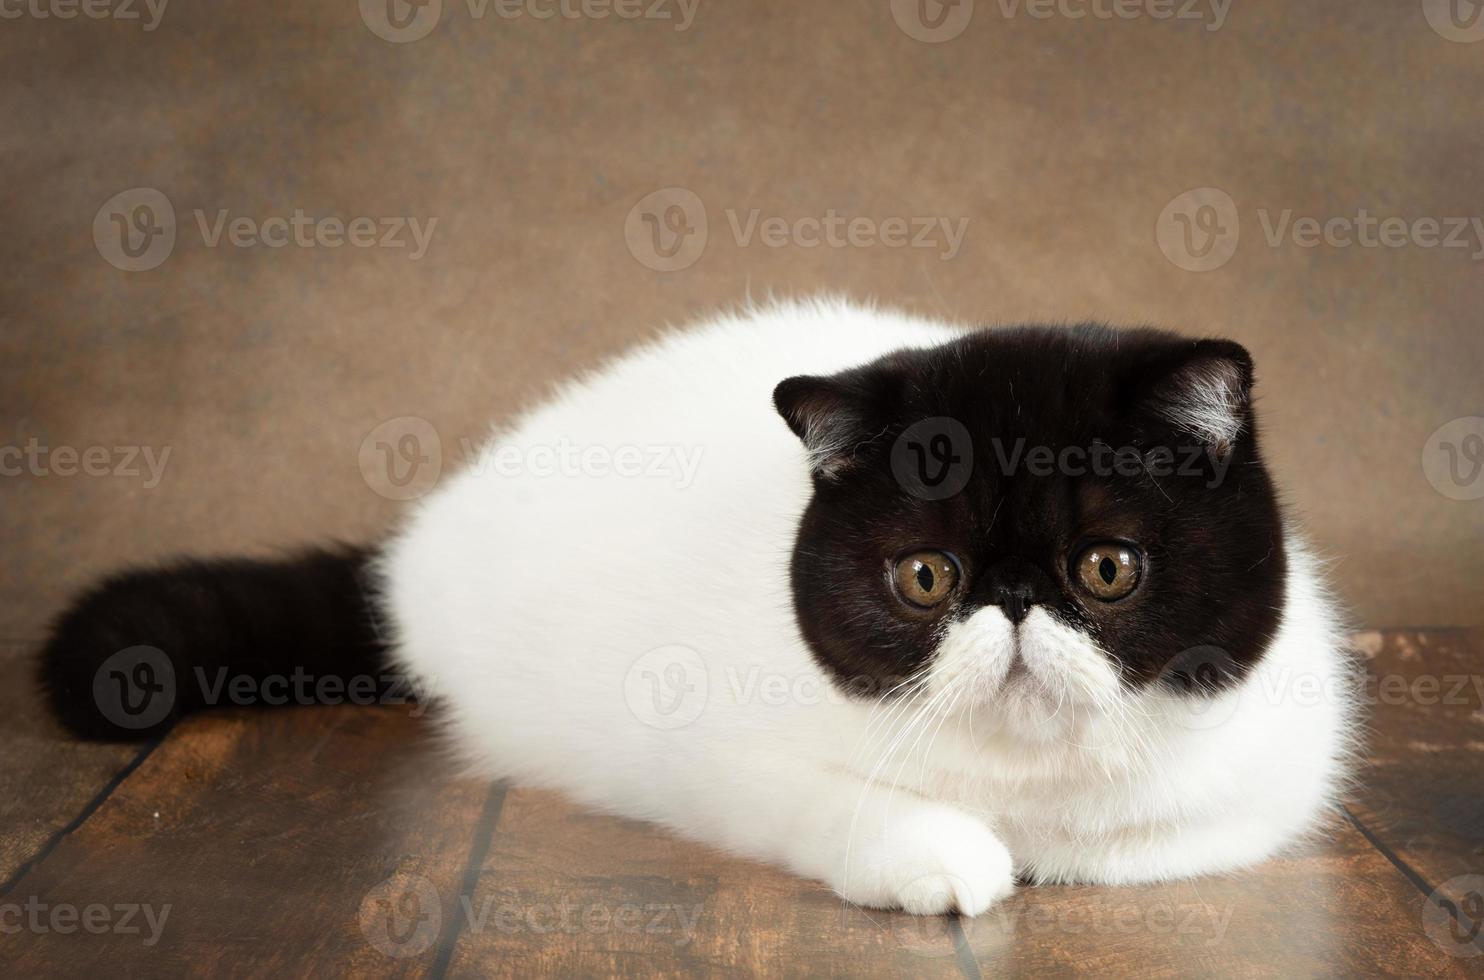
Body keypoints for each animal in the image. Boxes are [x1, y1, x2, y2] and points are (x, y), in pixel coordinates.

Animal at [34, 299, 1359, 920]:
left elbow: (1138, 831)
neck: (1023, 786)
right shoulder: (713, 754)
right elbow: (850, 802)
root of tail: (411, 552)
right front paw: (942, 853)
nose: (1017, 603)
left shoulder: (1256, 777)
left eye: (1105, 568)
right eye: (925, 577)